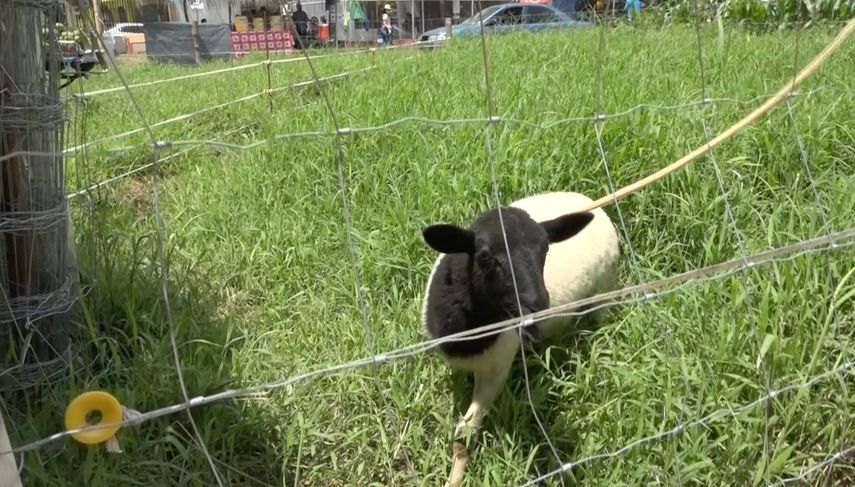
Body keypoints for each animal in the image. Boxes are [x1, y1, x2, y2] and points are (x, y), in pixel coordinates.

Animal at [419, 191, 620, 473]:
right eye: (484, 256)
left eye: (546, 248)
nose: (537, 305)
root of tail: (595, 205)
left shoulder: (496, 371)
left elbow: (463, 437)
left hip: (604, 293)